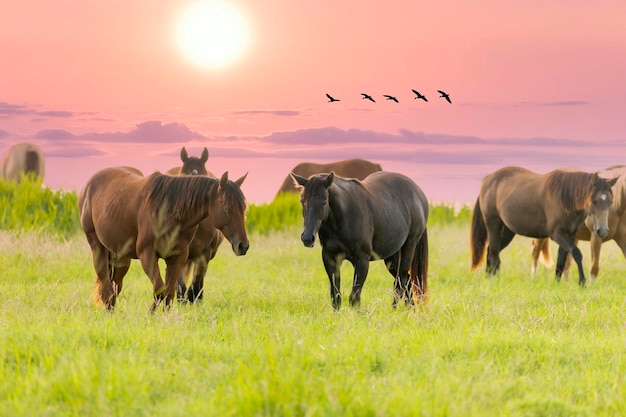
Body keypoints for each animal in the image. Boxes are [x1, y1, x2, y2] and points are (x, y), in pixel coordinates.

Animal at [75, 166, 246, 308]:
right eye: (227, 208)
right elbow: (160, 291)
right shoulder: (147, 256)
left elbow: (169, 294)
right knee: (107, 289)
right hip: (98, 248)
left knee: (115, 287)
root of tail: (89, 185)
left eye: (244, 208)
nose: (243, 245)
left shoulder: (177, 258)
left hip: (121, 257)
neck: (168, 212)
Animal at [288, 169, 426, 308]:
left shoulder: (362, 260)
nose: (307, 238)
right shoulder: (330, 258)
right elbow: (336, 296)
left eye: (324, 202)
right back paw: (409, 310)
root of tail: (419, 194)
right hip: (392, 256)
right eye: (302, 201)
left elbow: (354, 297)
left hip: (409, 247)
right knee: (405, 281)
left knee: (401, 280)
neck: (343, 218)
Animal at [468, 166, 616, 286]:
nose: (602, 231)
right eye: (594, 200)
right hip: (493, 225)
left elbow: (561, 260)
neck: (564, 198)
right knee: (494, 254)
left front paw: (557, 284)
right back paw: (494, 281)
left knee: (491, 251)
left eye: (610, 202)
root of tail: (488, 179)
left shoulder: (570, 235)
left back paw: (489, 278)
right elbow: (576, 253)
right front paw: (582, 282)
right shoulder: (557, 234)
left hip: (507, 232)